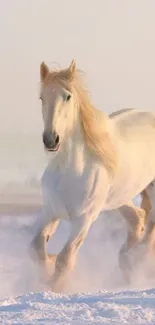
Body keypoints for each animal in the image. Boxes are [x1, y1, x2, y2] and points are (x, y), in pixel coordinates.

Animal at [31, 59, 155, 290]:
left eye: (68, 96)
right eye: (42, 97)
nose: (51, 140)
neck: (71, 171)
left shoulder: (83, 220)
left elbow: (65, 259)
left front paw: (53, 288)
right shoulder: (51, 211)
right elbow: (36, 248)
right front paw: (46, 270)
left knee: (149, 223)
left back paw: (137, 259)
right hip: (119, 198)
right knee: (138, 219)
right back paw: (126, 261)